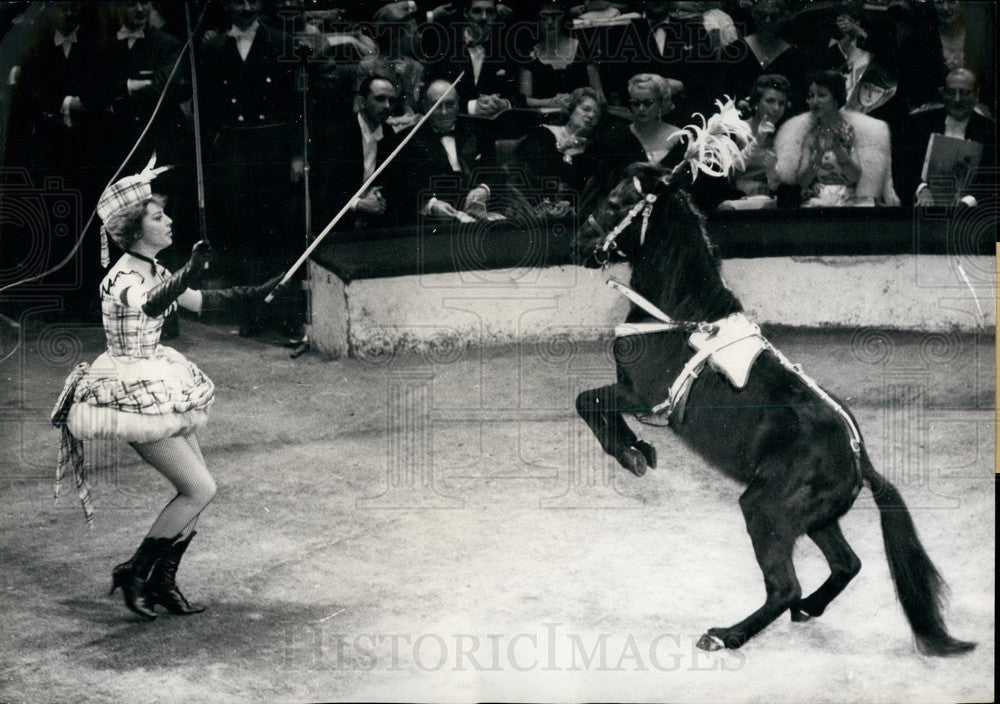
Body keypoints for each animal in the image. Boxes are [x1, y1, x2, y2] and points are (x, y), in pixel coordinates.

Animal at [576, 162, 972, 656]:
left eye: (615, 202)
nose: (580, 244)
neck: (677, 317)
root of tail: (859, 463)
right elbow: (591, 404)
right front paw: (638, 450)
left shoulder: (639, 394)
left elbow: (586, 401)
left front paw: (631, 453)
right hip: (814, 521)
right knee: (847, 564)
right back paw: (808, 610)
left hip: (764, 510)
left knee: (785, 588)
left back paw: (726, 634)